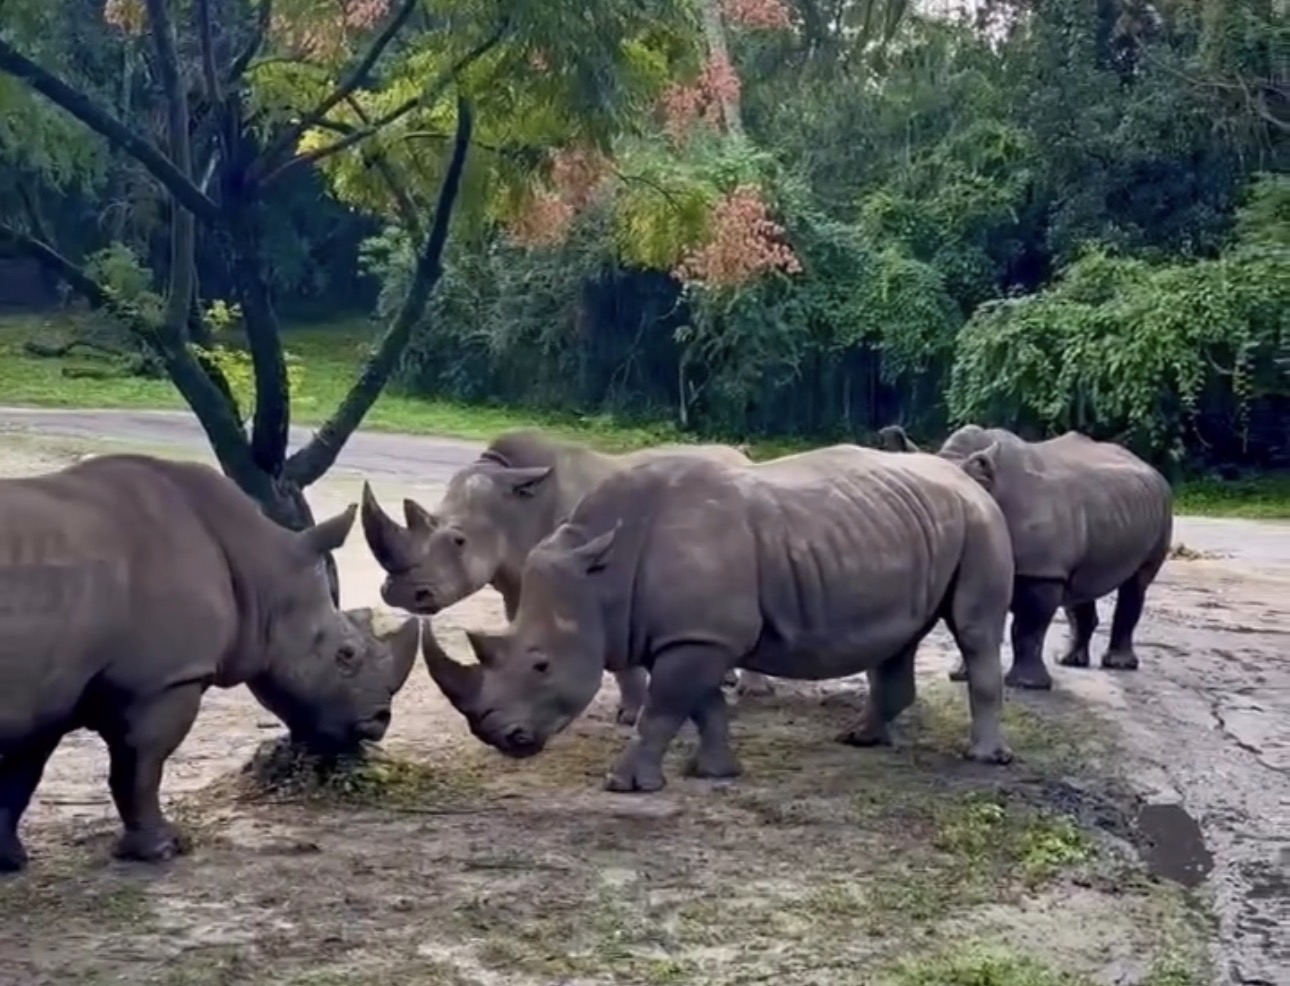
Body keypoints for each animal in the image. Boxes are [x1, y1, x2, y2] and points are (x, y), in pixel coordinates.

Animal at [0, 453, 419, 872]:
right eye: (345, 655)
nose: (379, 720)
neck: (264, 568)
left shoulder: (52, 687)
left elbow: (23, 773)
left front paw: (10, 860)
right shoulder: (162, 681)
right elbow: (140, 766)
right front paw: (162, 850)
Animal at [358, 428, 774, 726]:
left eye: (458, 540)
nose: (397, 593)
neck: (511, 508)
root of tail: (744, 456)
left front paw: (630, 717)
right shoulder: (520, 582)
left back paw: (753, 693)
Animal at [417, 444, 1017, 793]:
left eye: (541, 665)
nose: (499, 737)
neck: (603, 573)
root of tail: (969, 480)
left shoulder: (699, 637)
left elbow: (663, 707)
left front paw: (624, 784)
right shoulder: (699, 635)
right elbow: (703, 706)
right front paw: (715, 773)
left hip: (982, 523)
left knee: (976, 633)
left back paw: (984, 758)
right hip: (913, 525)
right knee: (898, 643)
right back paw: (860, 739)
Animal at [877, 424, 1173, 690]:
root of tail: (1150, 468)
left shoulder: (1041, 569)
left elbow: (1028, 627)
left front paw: (1026, 684)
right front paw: (962, 676)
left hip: (1163, 504)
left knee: (1135, 584)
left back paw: (1118, 664)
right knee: (1081, 585)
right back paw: (1068, 660)